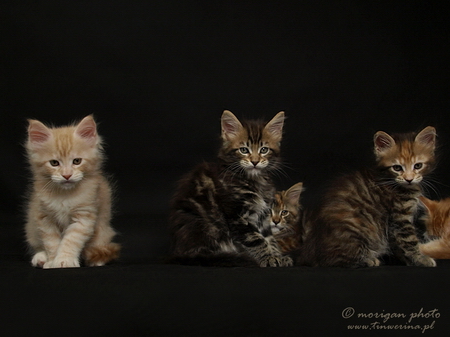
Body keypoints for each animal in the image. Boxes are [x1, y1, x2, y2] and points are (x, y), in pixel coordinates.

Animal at [24, 115, 119, 268]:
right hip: (31, 228)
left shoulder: (84, 216)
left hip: (103, 230)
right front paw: (52, 261)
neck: (65, 194)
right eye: (54, 163)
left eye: (77, 161)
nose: (67, 175)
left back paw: (97, 261)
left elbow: (71, 241)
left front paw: (65, 260)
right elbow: (51, 243)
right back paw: (40, 257)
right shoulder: (44, 218)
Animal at [169, 109, 292, 266]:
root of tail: (179, 250)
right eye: (244, 150)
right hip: (205, 227)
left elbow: (269, 238)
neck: (254, 180)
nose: (255, 162)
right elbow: (256, 240)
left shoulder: (263, 215)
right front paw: (268, 258)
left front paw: (278, 257)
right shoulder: (236, 215)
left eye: (264, 150)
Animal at [298, 126, 438, 268]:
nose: (409, 179)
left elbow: (398, 245)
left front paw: (410, 261)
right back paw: (369, 260)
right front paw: (422, 259)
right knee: (334, 261)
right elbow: (409, 242)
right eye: (397, 168)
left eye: (418, 165)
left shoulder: (394, 225)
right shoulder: (399, 218)